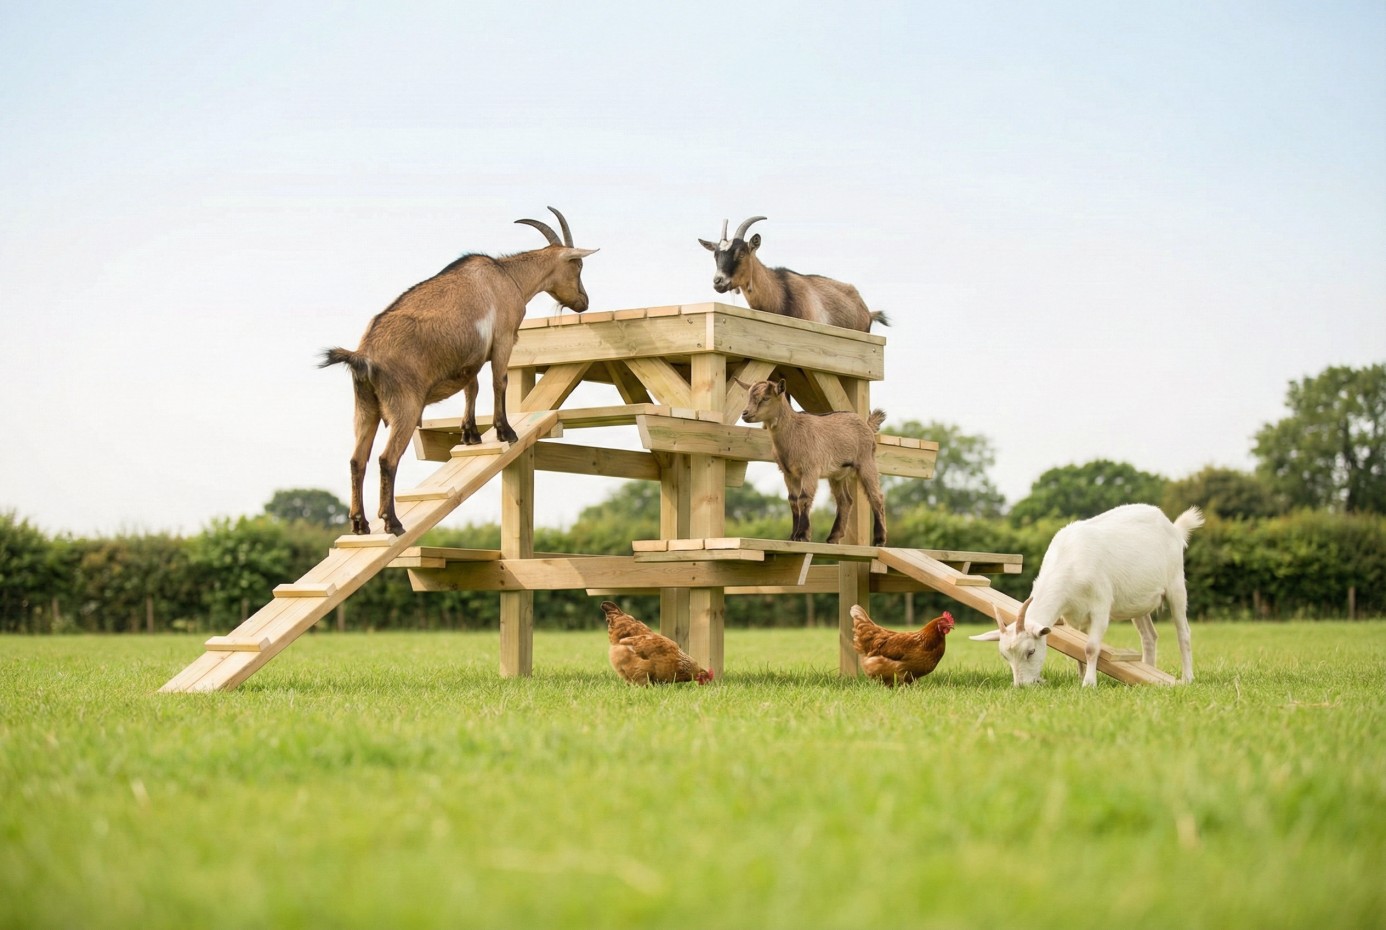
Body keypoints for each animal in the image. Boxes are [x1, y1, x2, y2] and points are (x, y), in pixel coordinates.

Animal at [321, 207, 597, 536]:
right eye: (578, 265)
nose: (584, 302)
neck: (508, 278)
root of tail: (362, 355)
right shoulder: (503, 339)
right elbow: (498, 382)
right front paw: (505, 432)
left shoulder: (471, 360)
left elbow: (472, 388)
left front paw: (470, 435)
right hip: (405, 406)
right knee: (386, 459)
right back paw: (392, 523)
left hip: (365, 409)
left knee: (356, 461)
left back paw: (360, 524)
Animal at [738, 378, 887, 546]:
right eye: (749, 397)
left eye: (766, 398)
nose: (745, 414)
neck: (793, 431)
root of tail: (867, 425)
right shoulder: (788, 473)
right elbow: (793, 500)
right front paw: (793, 536)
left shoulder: (810, 469)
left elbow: (804, 498)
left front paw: (802, 535)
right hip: (837, 474)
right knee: (845, 500)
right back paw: (833, 537)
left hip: (866, 462)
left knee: (876, 497)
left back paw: (879, 540)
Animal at [970, 504, 1204, 687]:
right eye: (1005, 656)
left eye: (1031, 651)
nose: (1022, 686)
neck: (1070, 562)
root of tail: (1174, 528)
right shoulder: (1073, 614)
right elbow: (1077, 649)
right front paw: (1080, 677)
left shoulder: (1100, 607)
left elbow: (1090, 648)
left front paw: (1089, 683)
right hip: (1138, 602)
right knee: (1149, 636)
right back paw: (1149, 669)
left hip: (1176, 584)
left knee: (1184, 633)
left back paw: (1187, 678)